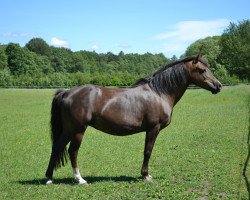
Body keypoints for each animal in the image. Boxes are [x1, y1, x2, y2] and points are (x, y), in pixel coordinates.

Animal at [44, 53, 221, 184]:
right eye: (201, 69)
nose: (218, 86)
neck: (159, 93)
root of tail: (67, 92)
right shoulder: (153, 128)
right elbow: (147, 151)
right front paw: (146, 175)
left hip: (68, 130)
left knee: (56, 147)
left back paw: (49, 178)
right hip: (78, 130)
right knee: (72, 151)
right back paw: (79, 179)